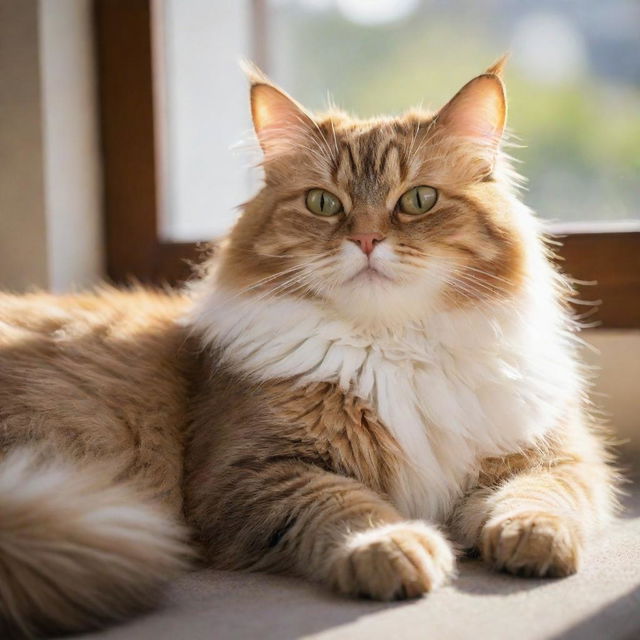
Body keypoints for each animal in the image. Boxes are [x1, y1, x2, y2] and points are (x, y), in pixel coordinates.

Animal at [1, 61, 620, 640]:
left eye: (418, 200)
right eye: (323, 203)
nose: (367, 240)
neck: (393, 346)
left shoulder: (557, 454)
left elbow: (536, 495)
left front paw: (533, 540)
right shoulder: (251, 472)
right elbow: (345, 503)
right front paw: (393, 547)